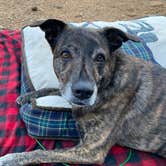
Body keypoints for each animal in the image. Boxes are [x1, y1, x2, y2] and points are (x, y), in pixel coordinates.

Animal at [0, 19, 166, 165]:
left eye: (100, 58)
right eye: (65, 54)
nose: (84, 92)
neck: (109, 80)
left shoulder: (90, 151)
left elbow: (41, 153)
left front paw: (11, 158)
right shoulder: (66, 88)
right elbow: (55, 88)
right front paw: (27, 96)